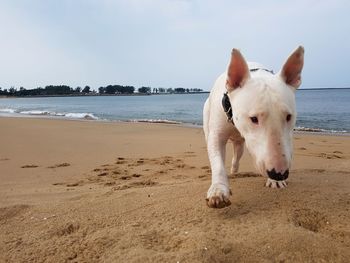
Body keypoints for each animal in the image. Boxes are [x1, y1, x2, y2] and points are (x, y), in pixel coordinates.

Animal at [204, 47, 304, 208]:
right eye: (253, 119)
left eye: (289, 117)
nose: (279, 173)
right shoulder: (216, 135)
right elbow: (217, 161)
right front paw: (218, 191)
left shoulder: (287, 138)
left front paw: (275, 182)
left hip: (240, 144)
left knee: (237, 154)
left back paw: (234, 170)